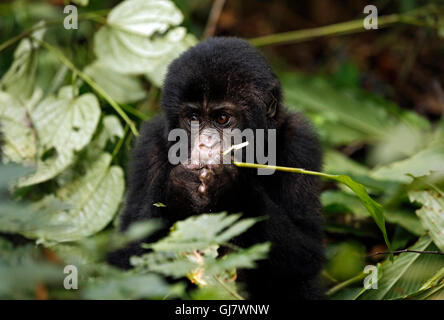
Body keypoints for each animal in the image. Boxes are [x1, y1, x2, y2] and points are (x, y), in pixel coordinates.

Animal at [111, 37, 326, 300]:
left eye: (222, 119)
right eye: (193, 118)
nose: (204, 144)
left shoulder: (301, 142)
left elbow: (307, 251)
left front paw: (234, 189)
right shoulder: (149, 143)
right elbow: (127, 257)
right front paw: (181, 189)